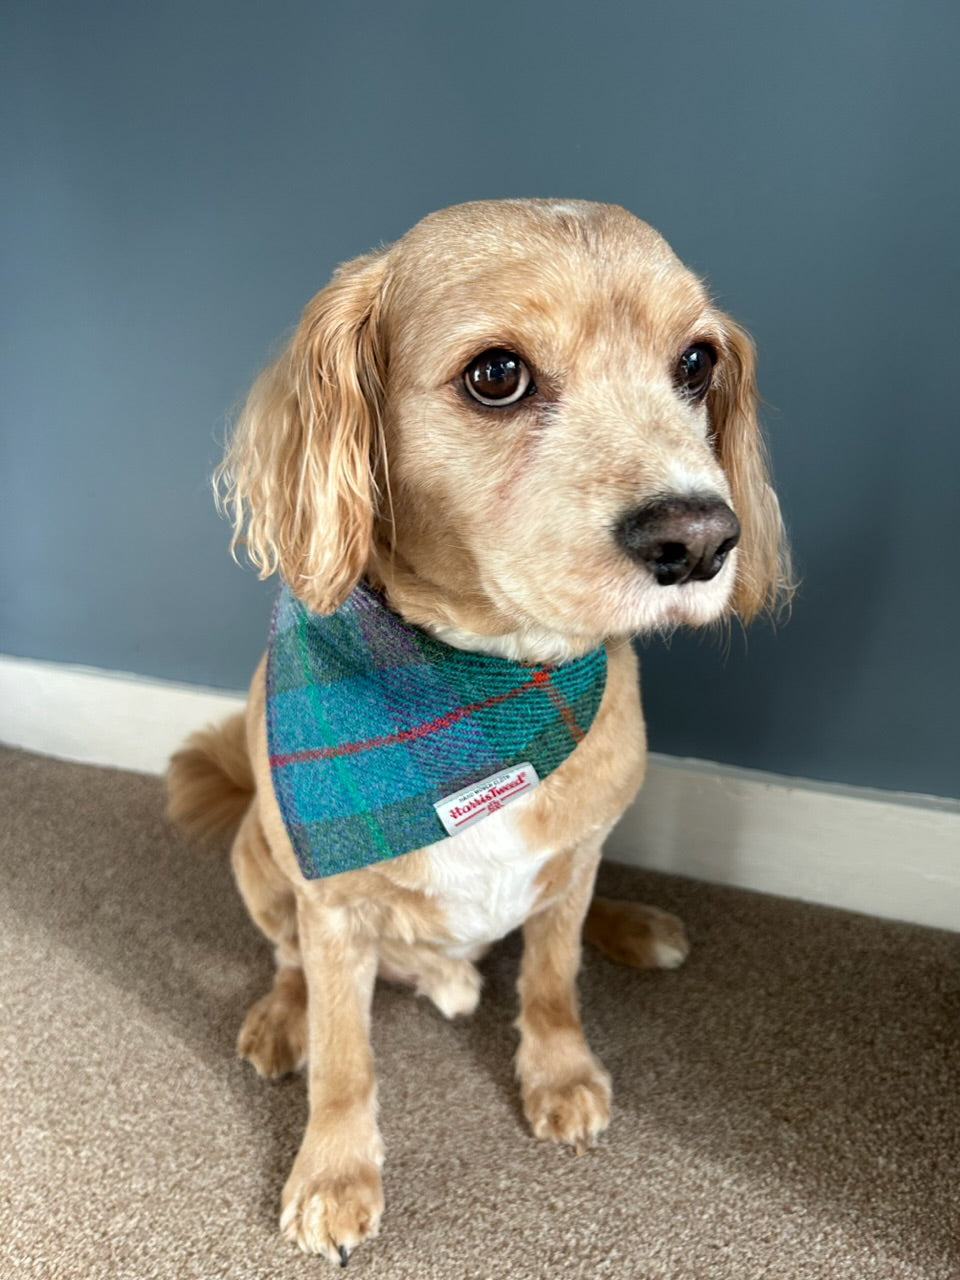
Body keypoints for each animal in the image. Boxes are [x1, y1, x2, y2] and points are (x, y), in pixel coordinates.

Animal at [167, 197, 788, 1259]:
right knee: (287, 963)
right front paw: (333, 1172)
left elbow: (552, 976)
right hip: (259, 857)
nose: (702, 538)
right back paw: (282, 1020)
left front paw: (560, 1072)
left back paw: (632, 925)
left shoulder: (574, 852)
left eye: (696, 363)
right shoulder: (332, 910)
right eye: (497, 375)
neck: (487, 691)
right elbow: (346, 1055)